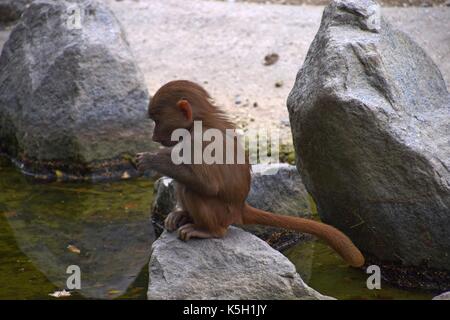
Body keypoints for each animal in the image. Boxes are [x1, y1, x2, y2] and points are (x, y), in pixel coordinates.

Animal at [138, 80, 366, 268]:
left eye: (157, 120)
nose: (153, 136)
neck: (199, 122)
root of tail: (240, 207)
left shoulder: (200, 142)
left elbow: (208, 184)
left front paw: (153, 159)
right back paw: (184, 215)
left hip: (222, 213)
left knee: (192, 190)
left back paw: (208, 230)